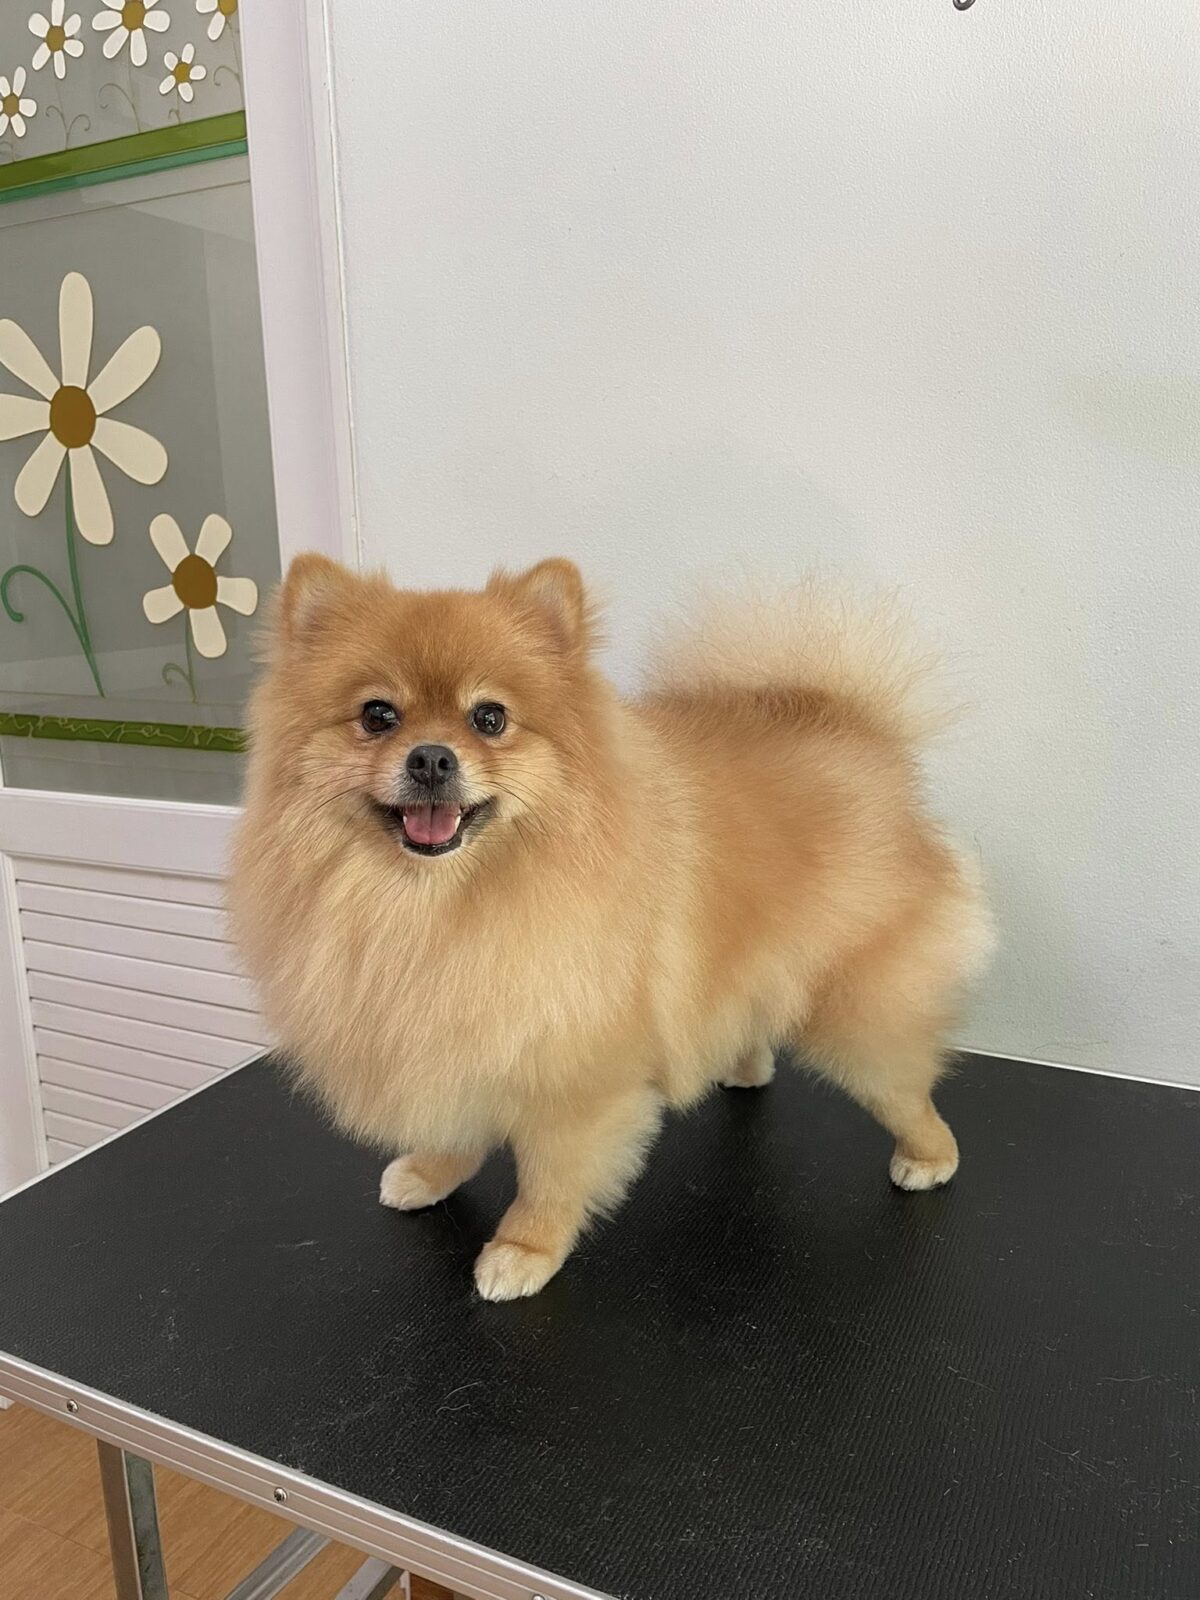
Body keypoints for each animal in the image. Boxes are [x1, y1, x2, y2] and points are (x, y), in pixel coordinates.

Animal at [230, 555, 992, 1300]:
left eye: (490, 718)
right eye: (378, 715)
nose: (431, 757)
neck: (432, 905)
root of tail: (859, 728)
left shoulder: (577, 1079)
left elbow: (550, 1176)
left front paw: (523, 1249)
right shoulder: (453, 1037)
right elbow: (456, 1123)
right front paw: (429, 1171)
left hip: (860, 1011)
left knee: (906, 1088)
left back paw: (928, 1156)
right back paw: (743, 1067)